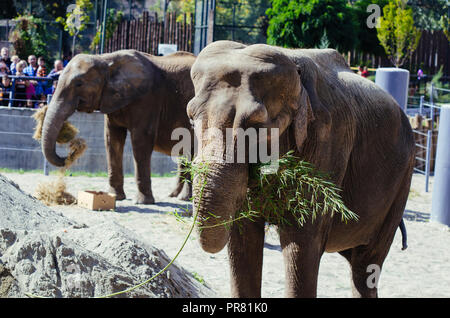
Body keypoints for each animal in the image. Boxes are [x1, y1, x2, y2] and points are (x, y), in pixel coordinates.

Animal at [41, 49, 195, 204]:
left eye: (79, 84)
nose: (71, 153)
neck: (105, 59)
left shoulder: (148, 98)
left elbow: (141, 141)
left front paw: (143, 202)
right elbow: (112, 139)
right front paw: (115, 196)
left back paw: (185, 198)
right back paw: (174, 196)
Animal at [187, 41, 414, 296]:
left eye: (257, 126)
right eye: (191, 120)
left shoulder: (328, 143)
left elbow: (301, 242)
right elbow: (242, 237)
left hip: (402, 182)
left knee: (366, 264)